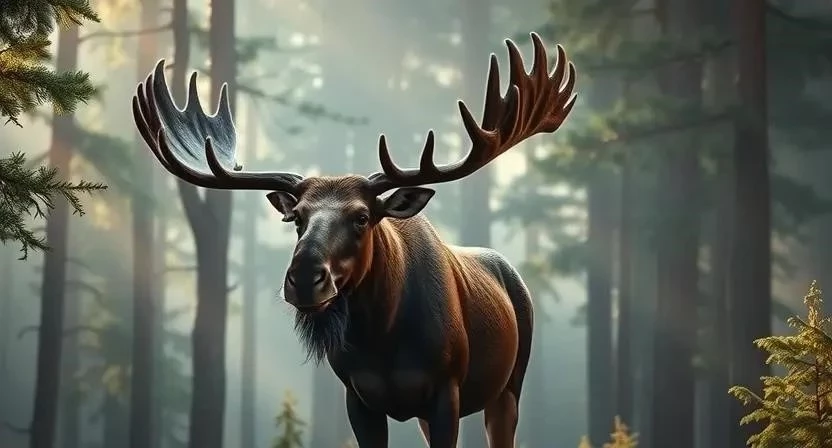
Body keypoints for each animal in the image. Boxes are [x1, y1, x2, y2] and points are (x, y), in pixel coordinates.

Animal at [132, 32, 576, 448]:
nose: (304, 278)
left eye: (362, 217)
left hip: (509, 387)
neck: (382, 338)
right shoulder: (358, 398)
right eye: (296, 218)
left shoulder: (446, 391)